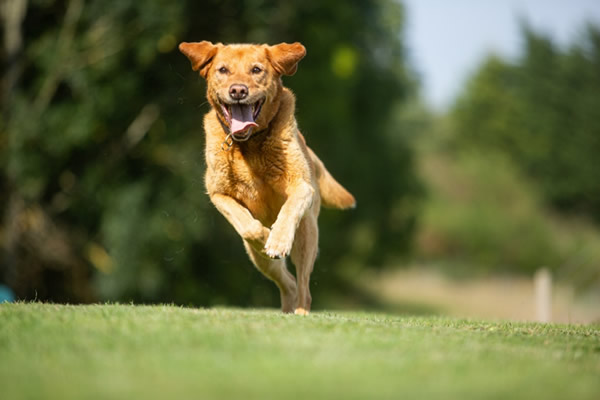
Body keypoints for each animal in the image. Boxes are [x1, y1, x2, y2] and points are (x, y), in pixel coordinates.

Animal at [180, 41, 354, 316]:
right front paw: (264, 235)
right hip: (260, 261)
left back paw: (301, 311)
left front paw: (278, 240)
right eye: (223, 70)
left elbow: (289, 208)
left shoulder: (301, 185)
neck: (249, 144)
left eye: (256, 69)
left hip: (307, 236)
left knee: (303, 286)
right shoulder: (218, 193)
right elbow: (248, 226)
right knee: (288, 282)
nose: (238, 90)